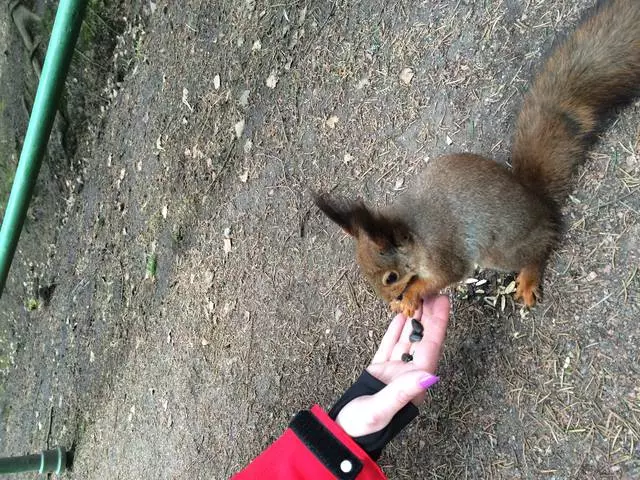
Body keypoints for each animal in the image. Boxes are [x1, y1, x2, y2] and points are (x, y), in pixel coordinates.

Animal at [314, 0, 640, 318]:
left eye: (390, 277)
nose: (389, 299)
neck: (414, 234)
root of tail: (538, 201)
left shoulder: (443, 253)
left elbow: (444, 277)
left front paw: (411, 296)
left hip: (503, 250)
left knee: (539, 249)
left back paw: (529, 276)